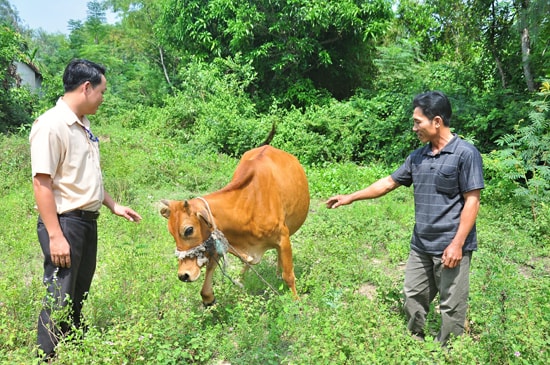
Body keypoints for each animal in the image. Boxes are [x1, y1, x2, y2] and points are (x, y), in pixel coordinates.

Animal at [162, 145, 312, 304]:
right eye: (171, 233)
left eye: (189, 230)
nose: (183, 275)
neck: (246, 206)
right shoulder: (217, 240)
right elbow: (210, 274)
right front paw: (210, 297)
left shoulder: (283, 237)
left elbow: (289, 275)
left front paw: (296, 301)